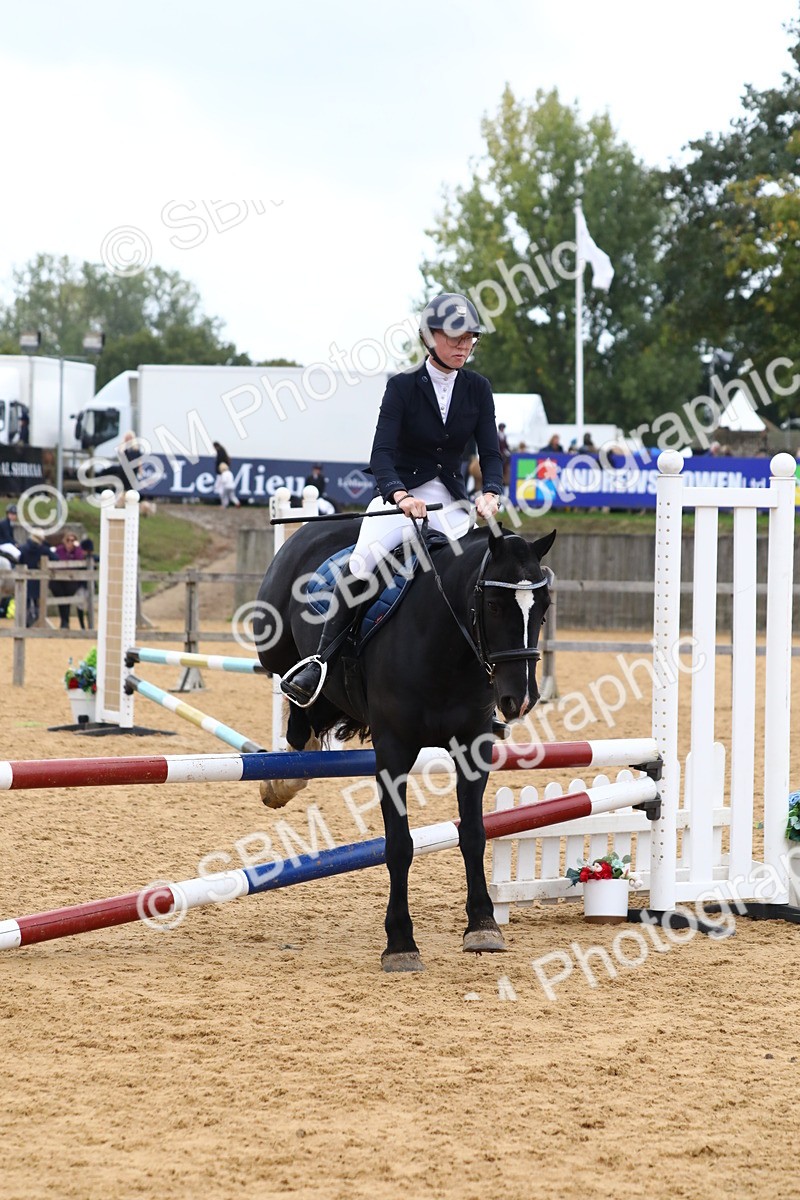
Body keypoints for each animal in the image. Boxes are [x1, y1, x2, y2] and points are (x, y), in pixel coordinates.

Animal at [253, 520, 555, 972]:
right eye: (494, 606)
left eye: (543, 607)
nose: (519, 699)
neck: (444, 646)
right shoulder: (394, 752)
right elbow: (399, 845)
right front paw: (400, 943)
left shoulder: (473, 748)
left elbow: (474, 834)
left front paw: (483, 925)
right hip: (273, 648)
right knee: (296, 703)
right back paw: (284, 772)